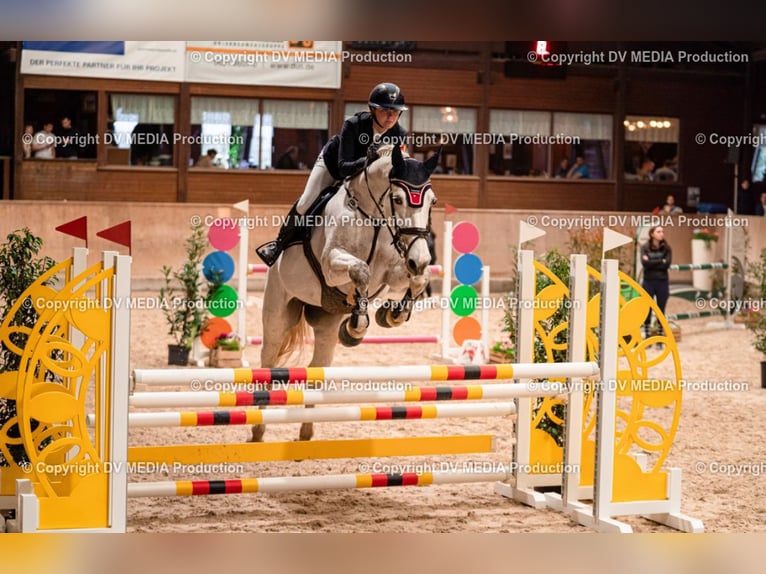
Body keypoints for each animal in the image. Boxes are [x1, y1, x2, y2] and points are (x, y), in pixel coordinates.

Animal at [255, 146, 440, 444]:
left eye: (432, 202)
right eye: (397, 199)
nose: (421, 259)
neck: (374, 217)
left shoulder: (392, 272)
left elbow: (418, 279)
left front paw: (392, 314)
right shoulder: (332, 265)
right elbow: (361, 270)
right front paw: (358, 324)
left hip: (326, 327)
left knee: (316, 371)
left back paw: (306, 431)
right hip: (277, 315)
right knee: (268, 365)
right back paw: (258, 430)